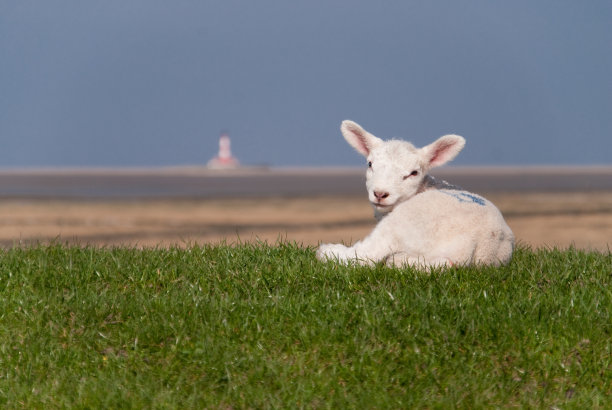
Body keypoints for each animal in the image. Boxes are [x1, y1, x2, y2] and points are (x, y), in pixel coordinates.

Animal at [318, 120, 512, 268]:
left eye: (413, 173)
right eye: (370, 164)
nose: (380, 193)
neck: (427, 186)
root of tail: (479, 242)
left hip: (405, 222)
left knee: (366, 255)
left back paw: (328, 251)